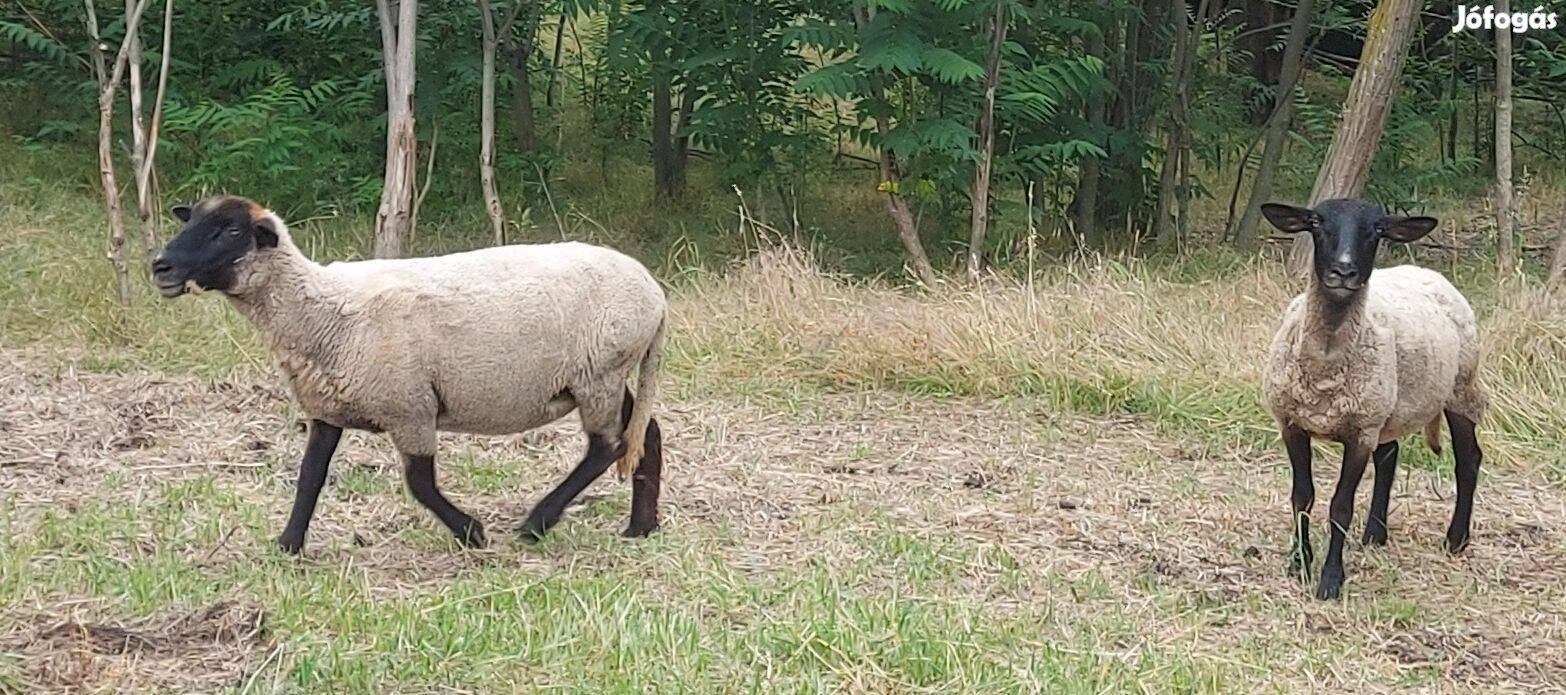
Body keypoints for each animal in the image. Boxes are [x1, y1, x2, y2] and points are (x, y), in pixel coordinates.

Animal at [144, 195, 663, 554]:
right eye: (189, 220)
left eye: (229, 229)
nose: (160, 266)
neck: (319, 310)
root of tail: (655, 294)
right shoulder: (326, 407)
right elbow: (310, 476)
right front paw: (288, 545)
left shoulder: (410, 406)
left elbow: (420, 484)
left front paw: (472, 532)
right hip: (600, 376)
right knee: (647, 433)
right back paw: (640, 528)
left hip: (598, 372)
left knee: (608, 447)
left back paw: (538, 521)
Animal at [1252, 198, 1484, 601]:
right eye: (1316, 222)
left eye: (1376, 229)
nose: (1343, 271)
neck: (1326, 365)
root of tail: (1427, 271)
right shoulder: (1292, 424)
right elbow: (1302, 497)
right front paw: (1299, 563)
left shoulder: (1359, 433)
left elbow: (1340, 508)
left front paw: (1330, 580)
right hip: (1388, 407)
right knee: (1389, 457)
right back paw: (1376, 534)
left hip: (1459, 390)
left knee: (1468, 460)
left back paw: (1455, 540)